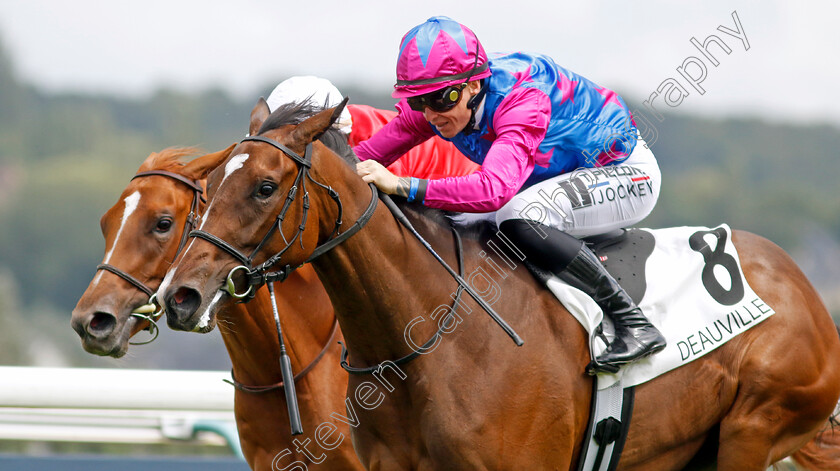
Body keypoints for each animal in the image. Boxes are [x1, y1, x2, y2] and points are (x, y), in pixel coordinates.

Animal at [161, 97, 840, 470]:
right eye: (208, 185)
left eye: (264, 187)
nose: (180, 296)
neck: (430, 339)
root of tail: (803, 288)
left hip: (754, 428)